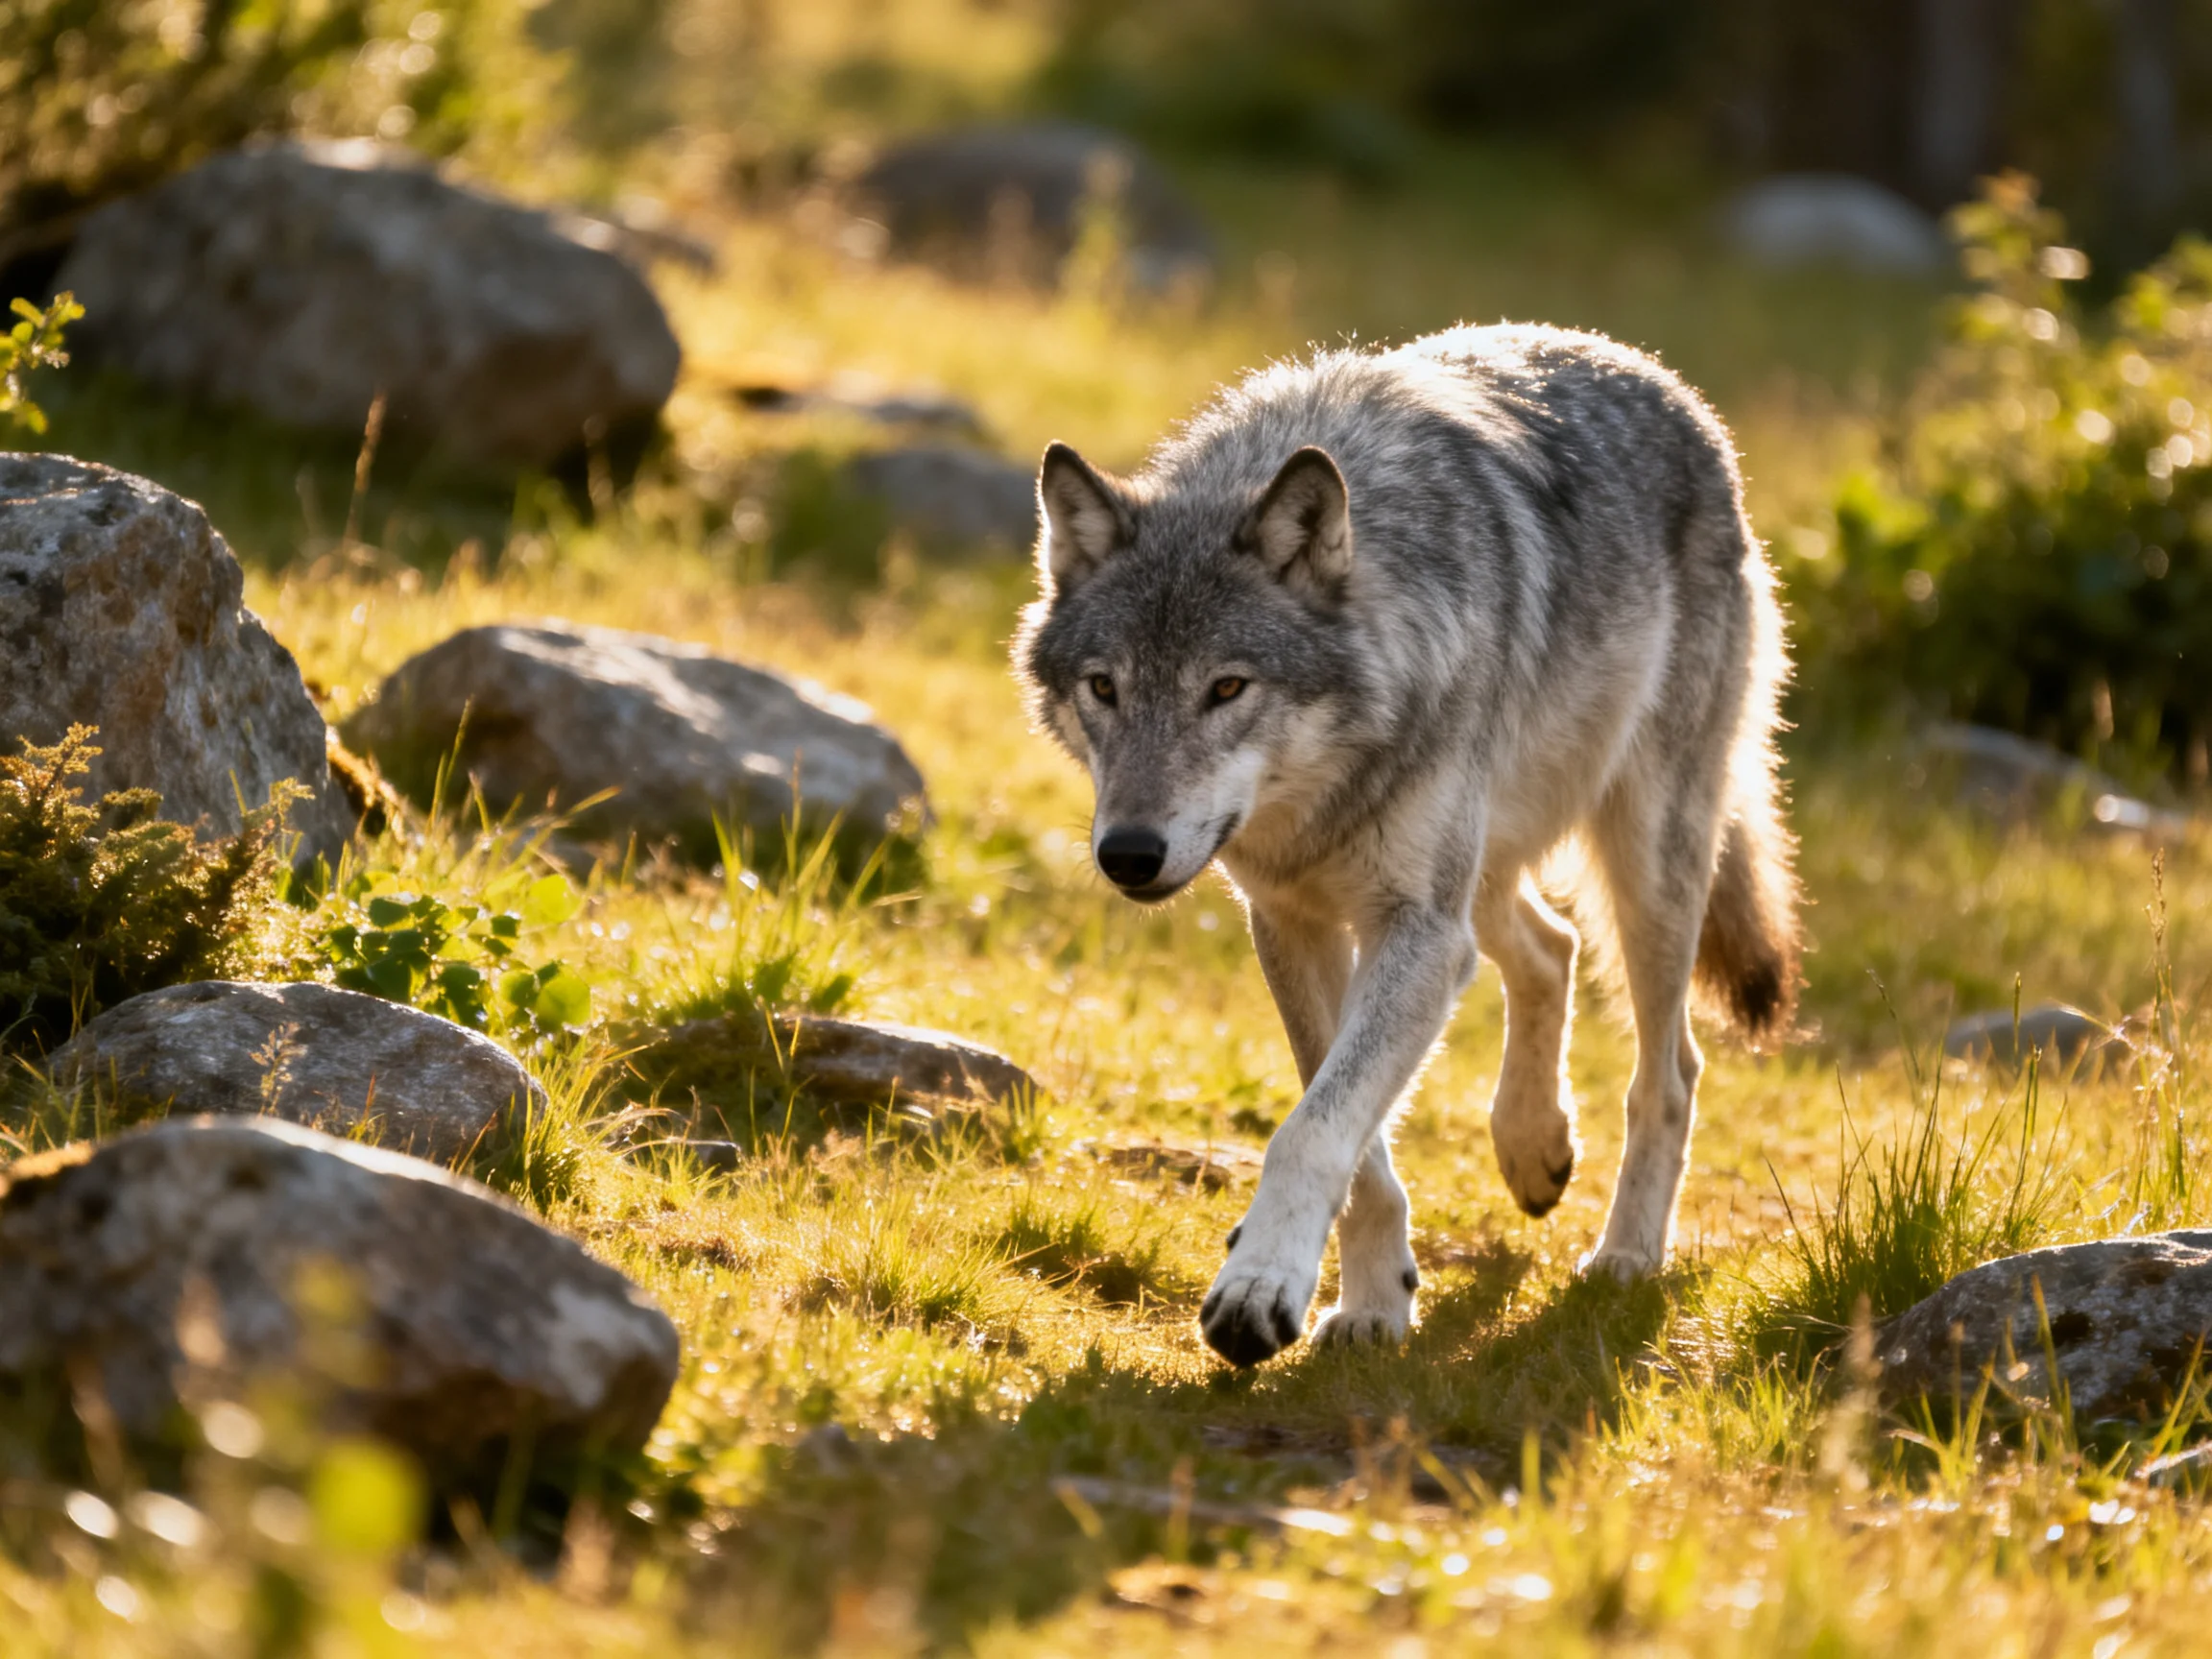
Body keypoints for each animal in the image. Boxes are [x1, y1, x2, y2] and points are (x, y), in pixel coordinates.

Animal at [1014, 323, 1800, 1367]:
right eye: (1104, 687)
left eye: (1227, 688)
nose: (1130, 855)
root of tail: (1658, 376)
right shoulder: (1294, 921)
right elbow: (1349, 1131)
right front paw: (1373, 1302)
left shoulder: (1416, 931)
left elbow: (1313, 1130)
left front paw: (1259, 1290)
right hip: (1487, 874)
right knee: (1551, 949)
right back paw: (1532, 1146)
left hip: (1644, 865)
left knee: (1669, 1071)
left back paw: (1627, 1255)